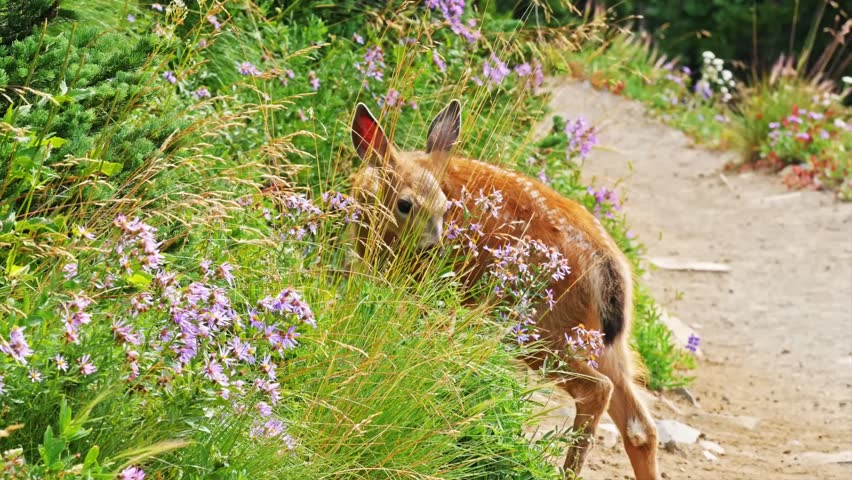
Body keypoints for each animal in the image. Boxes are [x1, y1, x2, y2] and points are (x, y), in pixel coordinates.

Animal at [348, 99, 659, 480]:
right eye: (406, 204)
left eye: (445, 207)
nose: (436, 248)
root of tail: (607, 266)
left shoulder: (426, 290)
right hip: (605, 342)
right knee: (639, 424)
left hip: (540, 326)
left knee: (596, 389)